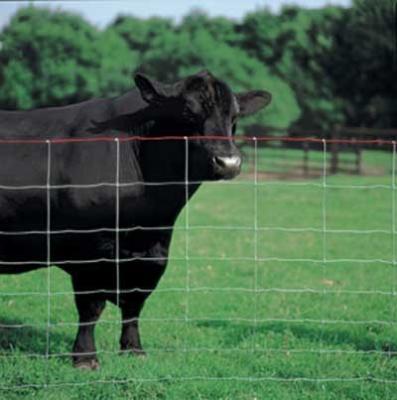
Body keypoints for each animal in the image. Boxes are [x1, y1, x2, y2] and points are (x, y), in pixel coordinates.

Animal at [0, 71, 270, 368]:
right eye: (187, 112)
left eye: (235, 116)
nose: (228, 162)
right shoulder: (89, 251)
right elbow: (91, 307)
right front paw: (85, 357)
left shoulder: (154, 252)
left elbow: (135, 304)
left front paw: (133, 349)